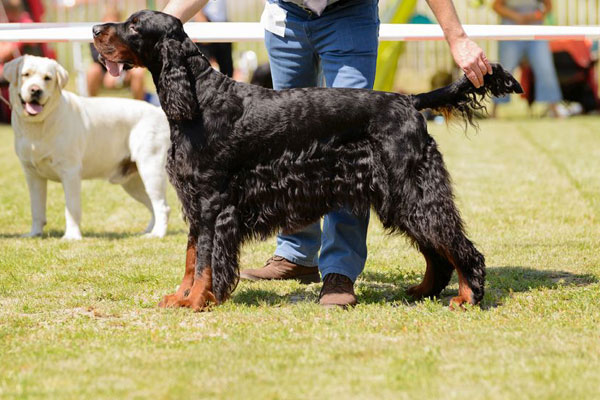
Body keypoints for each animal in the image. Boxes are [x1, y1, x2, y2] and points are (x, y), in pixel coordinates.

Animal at [6, 54, 171, 239]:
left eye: (47, 78)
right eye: (25, 74)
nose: (35, 90)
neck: (38, 125)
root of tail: (158, 111)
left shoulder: (70, 172)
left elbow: (71, 209)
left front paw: (72, 236)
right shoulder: (33, 175)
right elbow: (36, 209)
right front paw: (34, 233)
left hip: (151, 169)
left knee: (162, 206)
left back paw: (157, 234)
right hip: (132, 182)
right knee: (152, 205)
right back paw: (148, 231)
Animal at [91, 8, 524, 310]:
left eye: (134, 26)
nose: (95, 30)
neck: (200, 99)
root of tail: (408, 100)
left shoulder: (214, 202)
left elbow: (205, 262)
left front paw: (197, 300)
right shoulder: (195, 203)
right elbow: (191, 255)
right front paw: (180, 297)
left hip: (413, 191)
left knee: (458, 246)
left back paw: (468, 297)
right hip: (400, 197)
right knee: (438, 251)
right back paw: (423, 290)